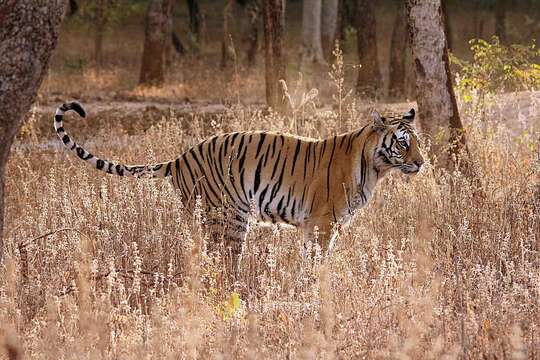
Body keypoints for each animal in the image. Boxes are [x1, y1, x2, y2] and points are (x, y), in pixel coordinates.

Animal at [56, 101, 426, 276]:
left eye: (417, 142)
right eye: (402, 143)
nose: (422, 163)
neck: (375, 168)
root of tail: (179, 158)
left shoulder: (316, 226)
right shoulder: (323, 224)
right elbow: (318, 260)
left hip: (205, 217)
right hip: (228, 217)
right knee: (222, 259)